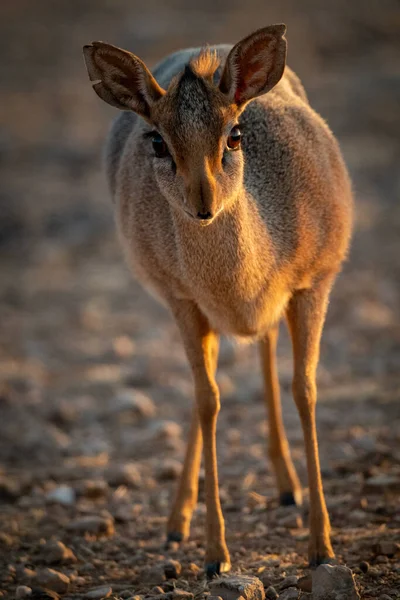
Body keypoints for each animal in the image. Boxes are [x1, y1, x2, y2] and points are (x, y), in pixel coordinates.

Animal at [83, 24, 352, 576]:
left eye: (235, 134)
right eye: (158, 141)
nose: (202, 203)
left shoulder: (314, 284)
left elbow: (305, 390)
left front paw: (321, 546)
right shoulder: (184, 302)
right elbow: (208, 400)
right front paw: (214, 554)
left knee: (266, 346)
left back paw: (287, 486)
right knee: (205, 383)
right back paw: (176, 520)